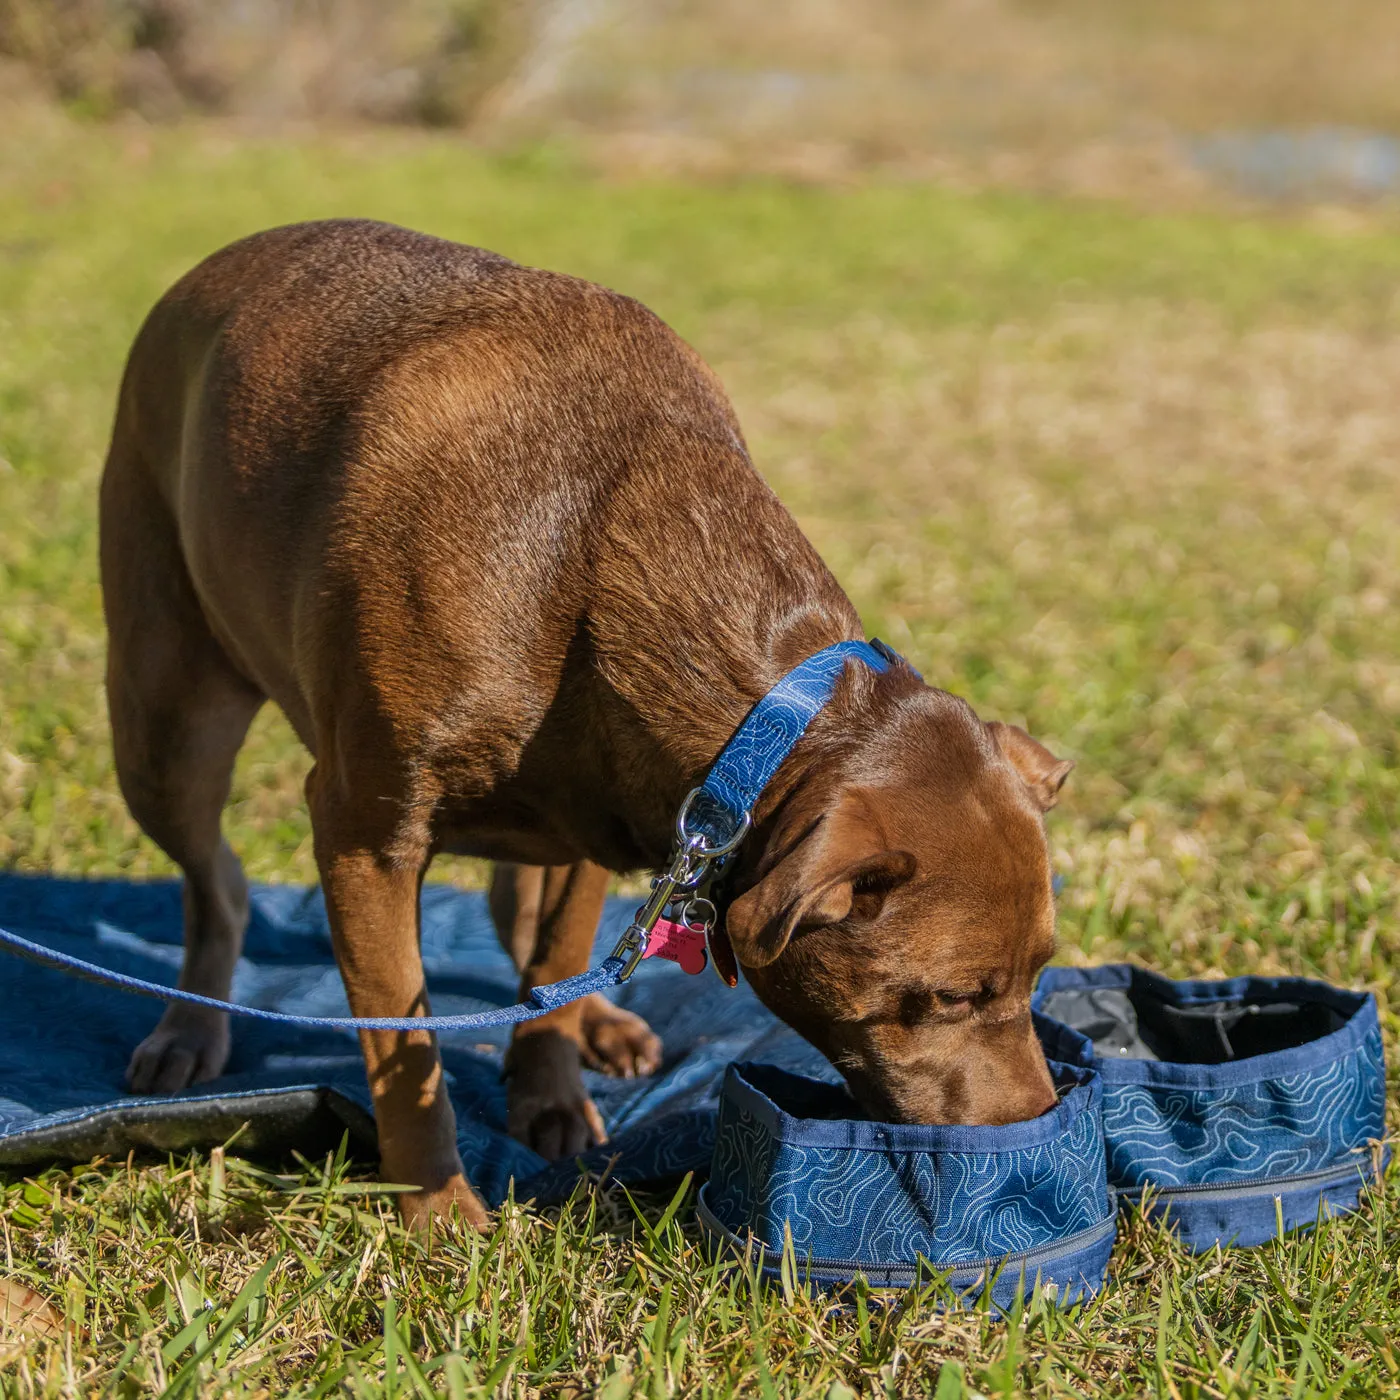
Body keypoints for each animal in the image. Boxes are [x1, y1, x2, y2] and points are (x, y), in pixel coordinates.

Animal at [101, 215, 1069, 1226]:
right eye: (951, 997)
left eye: (1044, 971)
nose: (1038, 1128)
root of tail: (222, 261)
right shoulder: (367, 833)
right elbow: (406, 1046)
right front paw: (438, 1205)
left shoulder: (607, 816)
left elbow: (551, 971)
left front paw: (550, 1092)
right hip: (165, 727)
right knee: (217, 884)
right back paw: (192, 1023)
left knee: (518, 923)